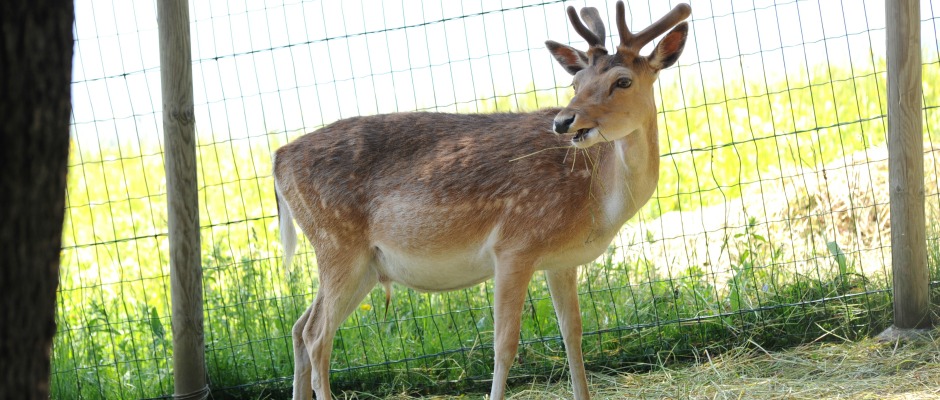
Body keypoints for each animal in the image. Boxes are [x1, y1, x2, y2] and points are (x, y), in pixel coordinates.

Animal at [272, 2, 692, 396]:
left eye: (623, 81)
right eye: (576, 82)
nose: (563, 121)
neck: (599, 202)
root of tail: (278, 159)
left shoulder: (561, 261)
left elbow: (573, 333)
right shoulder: (513, 245)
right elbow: (504, 344)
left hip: (365, 265)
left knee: (297, 327)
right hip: (338, 243)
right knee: (316, 335)